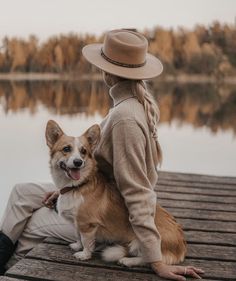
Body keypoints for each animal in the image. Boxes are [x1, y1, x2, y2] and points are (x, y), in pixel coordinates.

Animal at [45, 119, 186, 266]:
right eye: (66, 149)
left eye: (83, 151)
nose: (78, 162)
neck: (75, 186)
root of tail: (181, 246)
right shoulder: (78, 223)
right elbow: (77, 235)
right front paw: (77, 246)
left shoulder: (87, 225)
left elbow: (86, 241)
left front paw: (84, 255)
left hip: (141, 241)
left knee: (149, 259)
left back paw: (127, 261)